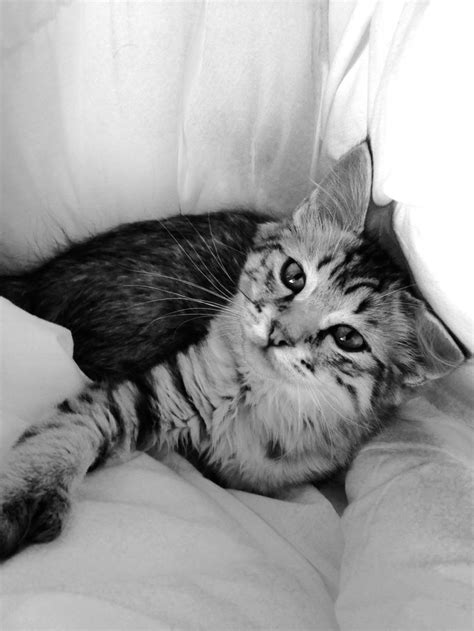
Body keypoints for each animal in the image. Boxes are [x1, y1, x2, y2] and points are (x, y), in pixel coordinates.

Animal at [0, 142, 462, 556]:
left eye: (348, 338)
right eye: (293, 275)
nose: (279, 332)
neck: (257, 403)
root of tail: (36, 281)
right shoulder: (154, 388)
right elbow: (69, 428)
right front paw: (22, 495)